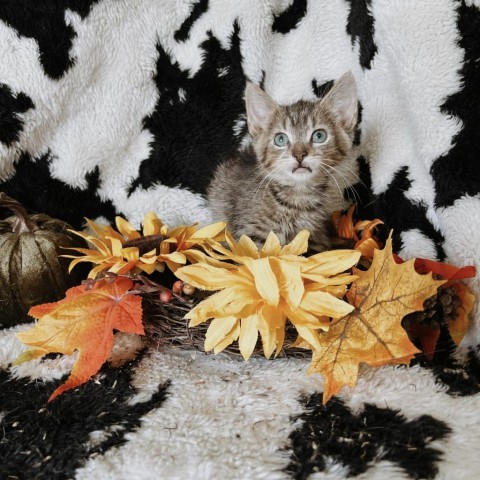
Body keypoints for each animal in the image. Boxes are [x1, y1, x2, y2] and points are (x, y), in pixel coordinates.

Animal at [208, 73, 358, 253]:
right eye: (280, 139)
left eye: (319, 136)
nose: (299, 155)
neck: (298, 197)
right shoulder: (249, 234)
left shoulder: (314, 236)